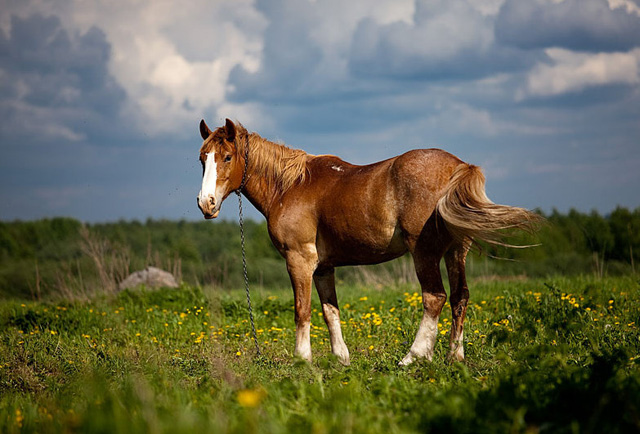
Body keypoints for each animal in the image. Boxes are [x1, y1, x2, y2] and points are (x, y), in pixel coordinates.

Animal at [196, 118, 540, 366]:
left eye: (227, 156)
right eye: (202, 159)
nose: (206, 204)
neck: (291, 186)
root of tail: (458, 166)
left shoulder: (299, 260)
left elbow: (302, 310)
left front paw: (302, 359)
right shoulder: (324, 267)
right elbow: (330, 310)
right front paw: (341, 358)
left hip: (425, 252)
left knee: (435, 298)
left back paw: (413, 357)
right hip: (457, 252)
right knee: (460, 297)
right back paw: (454, 357)